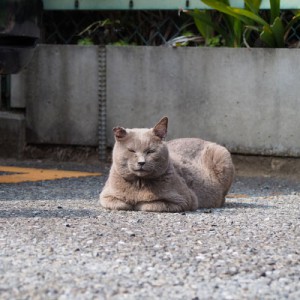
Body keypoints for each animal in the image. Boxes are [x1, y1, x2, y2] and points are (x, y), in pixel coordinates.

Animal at [99, 116, 236, 212]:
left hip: (222, 154)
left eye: (151, 151)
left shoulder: (184, 200)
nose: (141, 162)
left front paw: (138, 202)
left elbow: (147, 204)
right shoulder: (105, 196)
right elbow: (120, 204)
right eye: (131, 151)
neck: (139, 184)